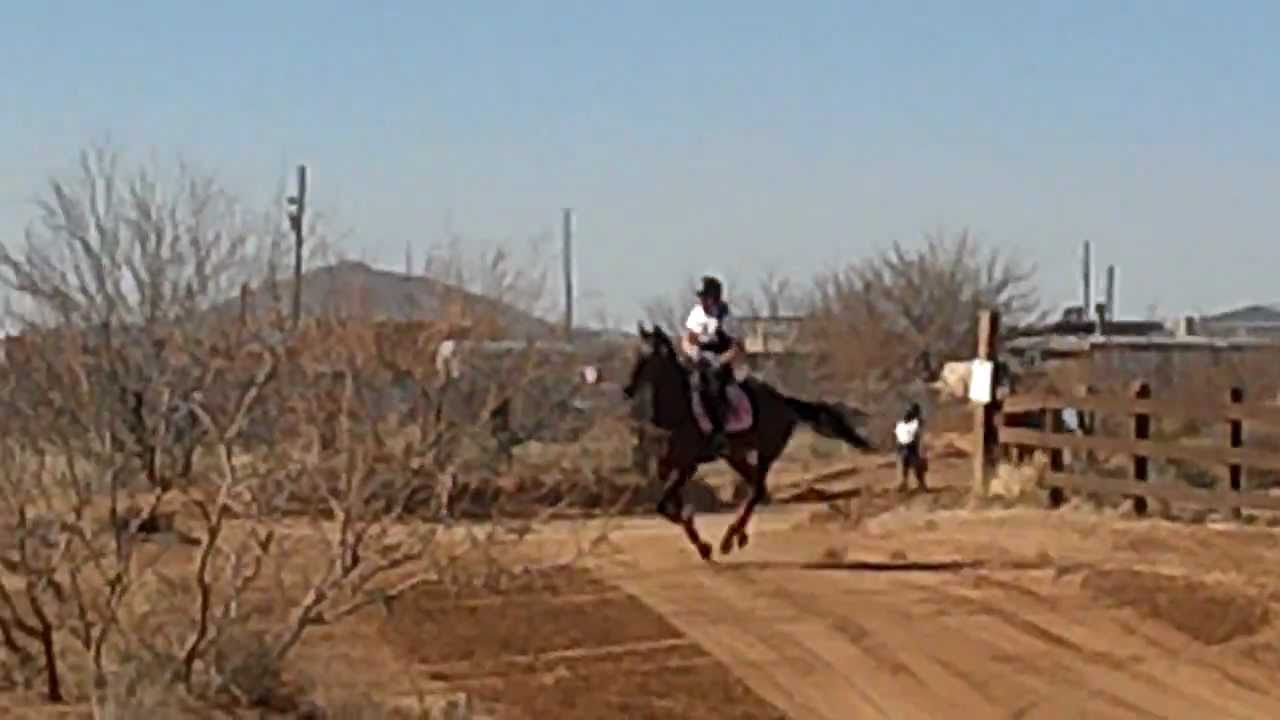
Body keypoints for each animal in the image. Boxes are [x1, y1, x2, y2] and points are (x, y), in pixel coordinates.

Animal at [622, 322, 875, 561]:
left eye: (649, 357)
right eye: (635, 353)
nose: (627, 389)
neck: (678, 411)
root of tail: (784, 403)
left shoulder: (688, 464)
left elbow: (665, 504)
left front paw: (704, 546)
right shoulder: (666, 464)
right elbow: (667, 504)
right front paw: (700, 541)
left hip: (766, 452)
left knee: (758, 489)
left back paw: (729, 539)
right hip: (736, 454)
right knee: (754, 486)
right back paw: (738, 535)